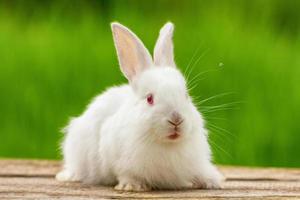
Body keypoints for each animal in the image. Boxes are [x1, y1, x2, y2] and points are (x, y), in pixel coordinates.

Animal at [57, 21, 224, 191]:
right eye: (149, 99)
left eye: (186, 95)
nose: (176, 119)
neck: (166, 144)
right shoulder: (119, 160)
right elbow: (126, 174)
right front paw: (132, 186)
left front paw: (212, 181)